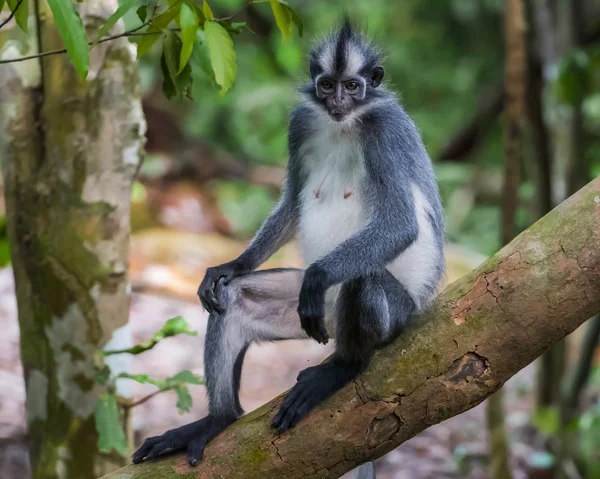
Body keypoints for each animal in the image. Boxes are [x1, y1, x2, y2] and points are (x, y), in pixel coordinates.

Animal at [134, 19, 442, 476]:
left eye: (353, 86)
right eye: (327, 84)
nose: (337, 101)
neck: (342, 124)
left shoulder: (386, 128)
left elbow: (401, 224)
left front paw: (318, 275)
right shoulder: (301, 123)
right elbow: (294, 202)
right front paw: (231, 264)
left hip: (393, 312)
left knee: (363, 278)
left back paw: (344, 366)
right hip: (318, 316)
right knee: (233, 298)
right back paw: (217, 420)